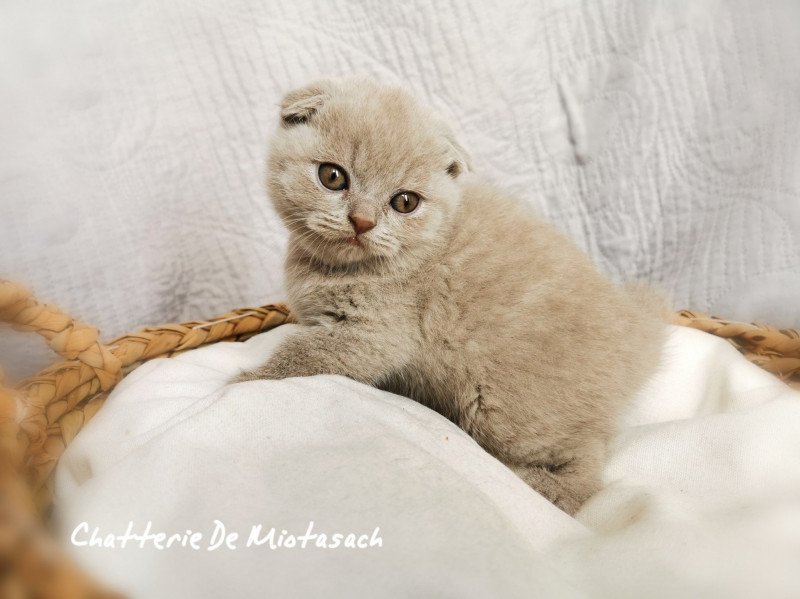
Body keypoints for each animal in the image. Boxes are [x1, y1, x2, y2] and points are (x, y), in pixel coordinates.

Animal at [241, 76, 664, 516]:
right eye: (333, 176)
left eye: (404, 202)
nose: (362, 221)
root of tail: (634, 332)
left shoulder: (375, 334)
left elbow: (301, 356)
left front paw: (245, 380)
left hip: (504, 411)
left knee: (588, 467)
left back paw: (540, 487)